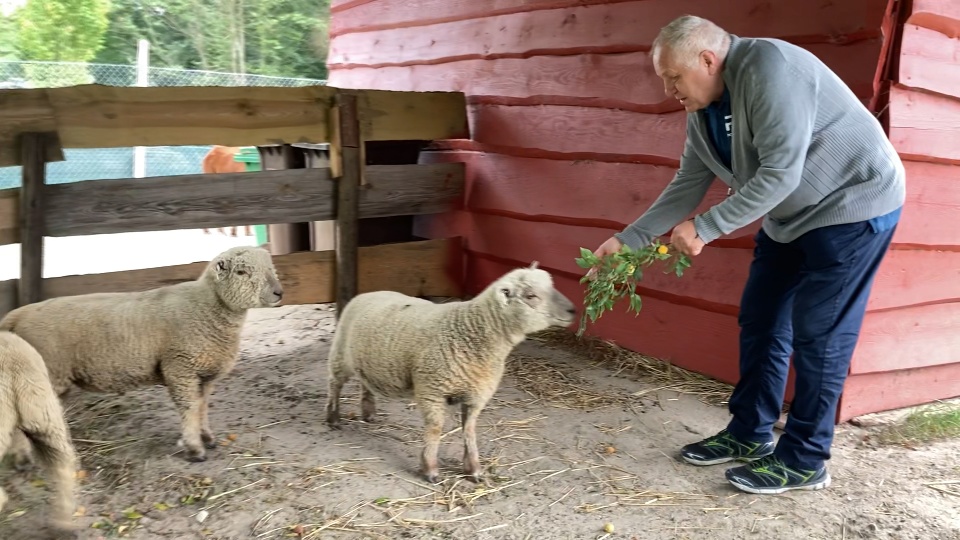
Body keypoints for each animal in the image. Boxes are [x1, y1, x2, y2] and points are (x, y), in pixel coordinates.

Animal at [0, 247, 284, 462]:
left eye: (271, 268)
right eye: (241, 272)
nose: (279, 292)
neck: (206, 307)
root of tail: (18, 315)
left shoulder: (203, 374)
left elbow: (201, 406)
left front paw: (207, 437)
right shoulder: (180, 368)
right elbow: (189, 408)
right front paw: (194, 448)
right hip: (46, 371)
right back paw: (27, 457)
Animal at [322, 260, 576, 480]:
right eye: (531, 296)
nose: (573, 310)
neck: (473, 330)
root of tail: (367, 293)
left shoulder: (476, 395)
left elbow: (469, 431)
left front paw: (474, 469)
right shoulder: (431, 390)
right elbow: (435, 430)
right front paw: (430, 469)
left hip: (365, 360)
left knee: (365, 381)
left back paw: (368, 412)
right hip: (340, 355)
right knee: (334, 384)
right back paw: (333, 417)